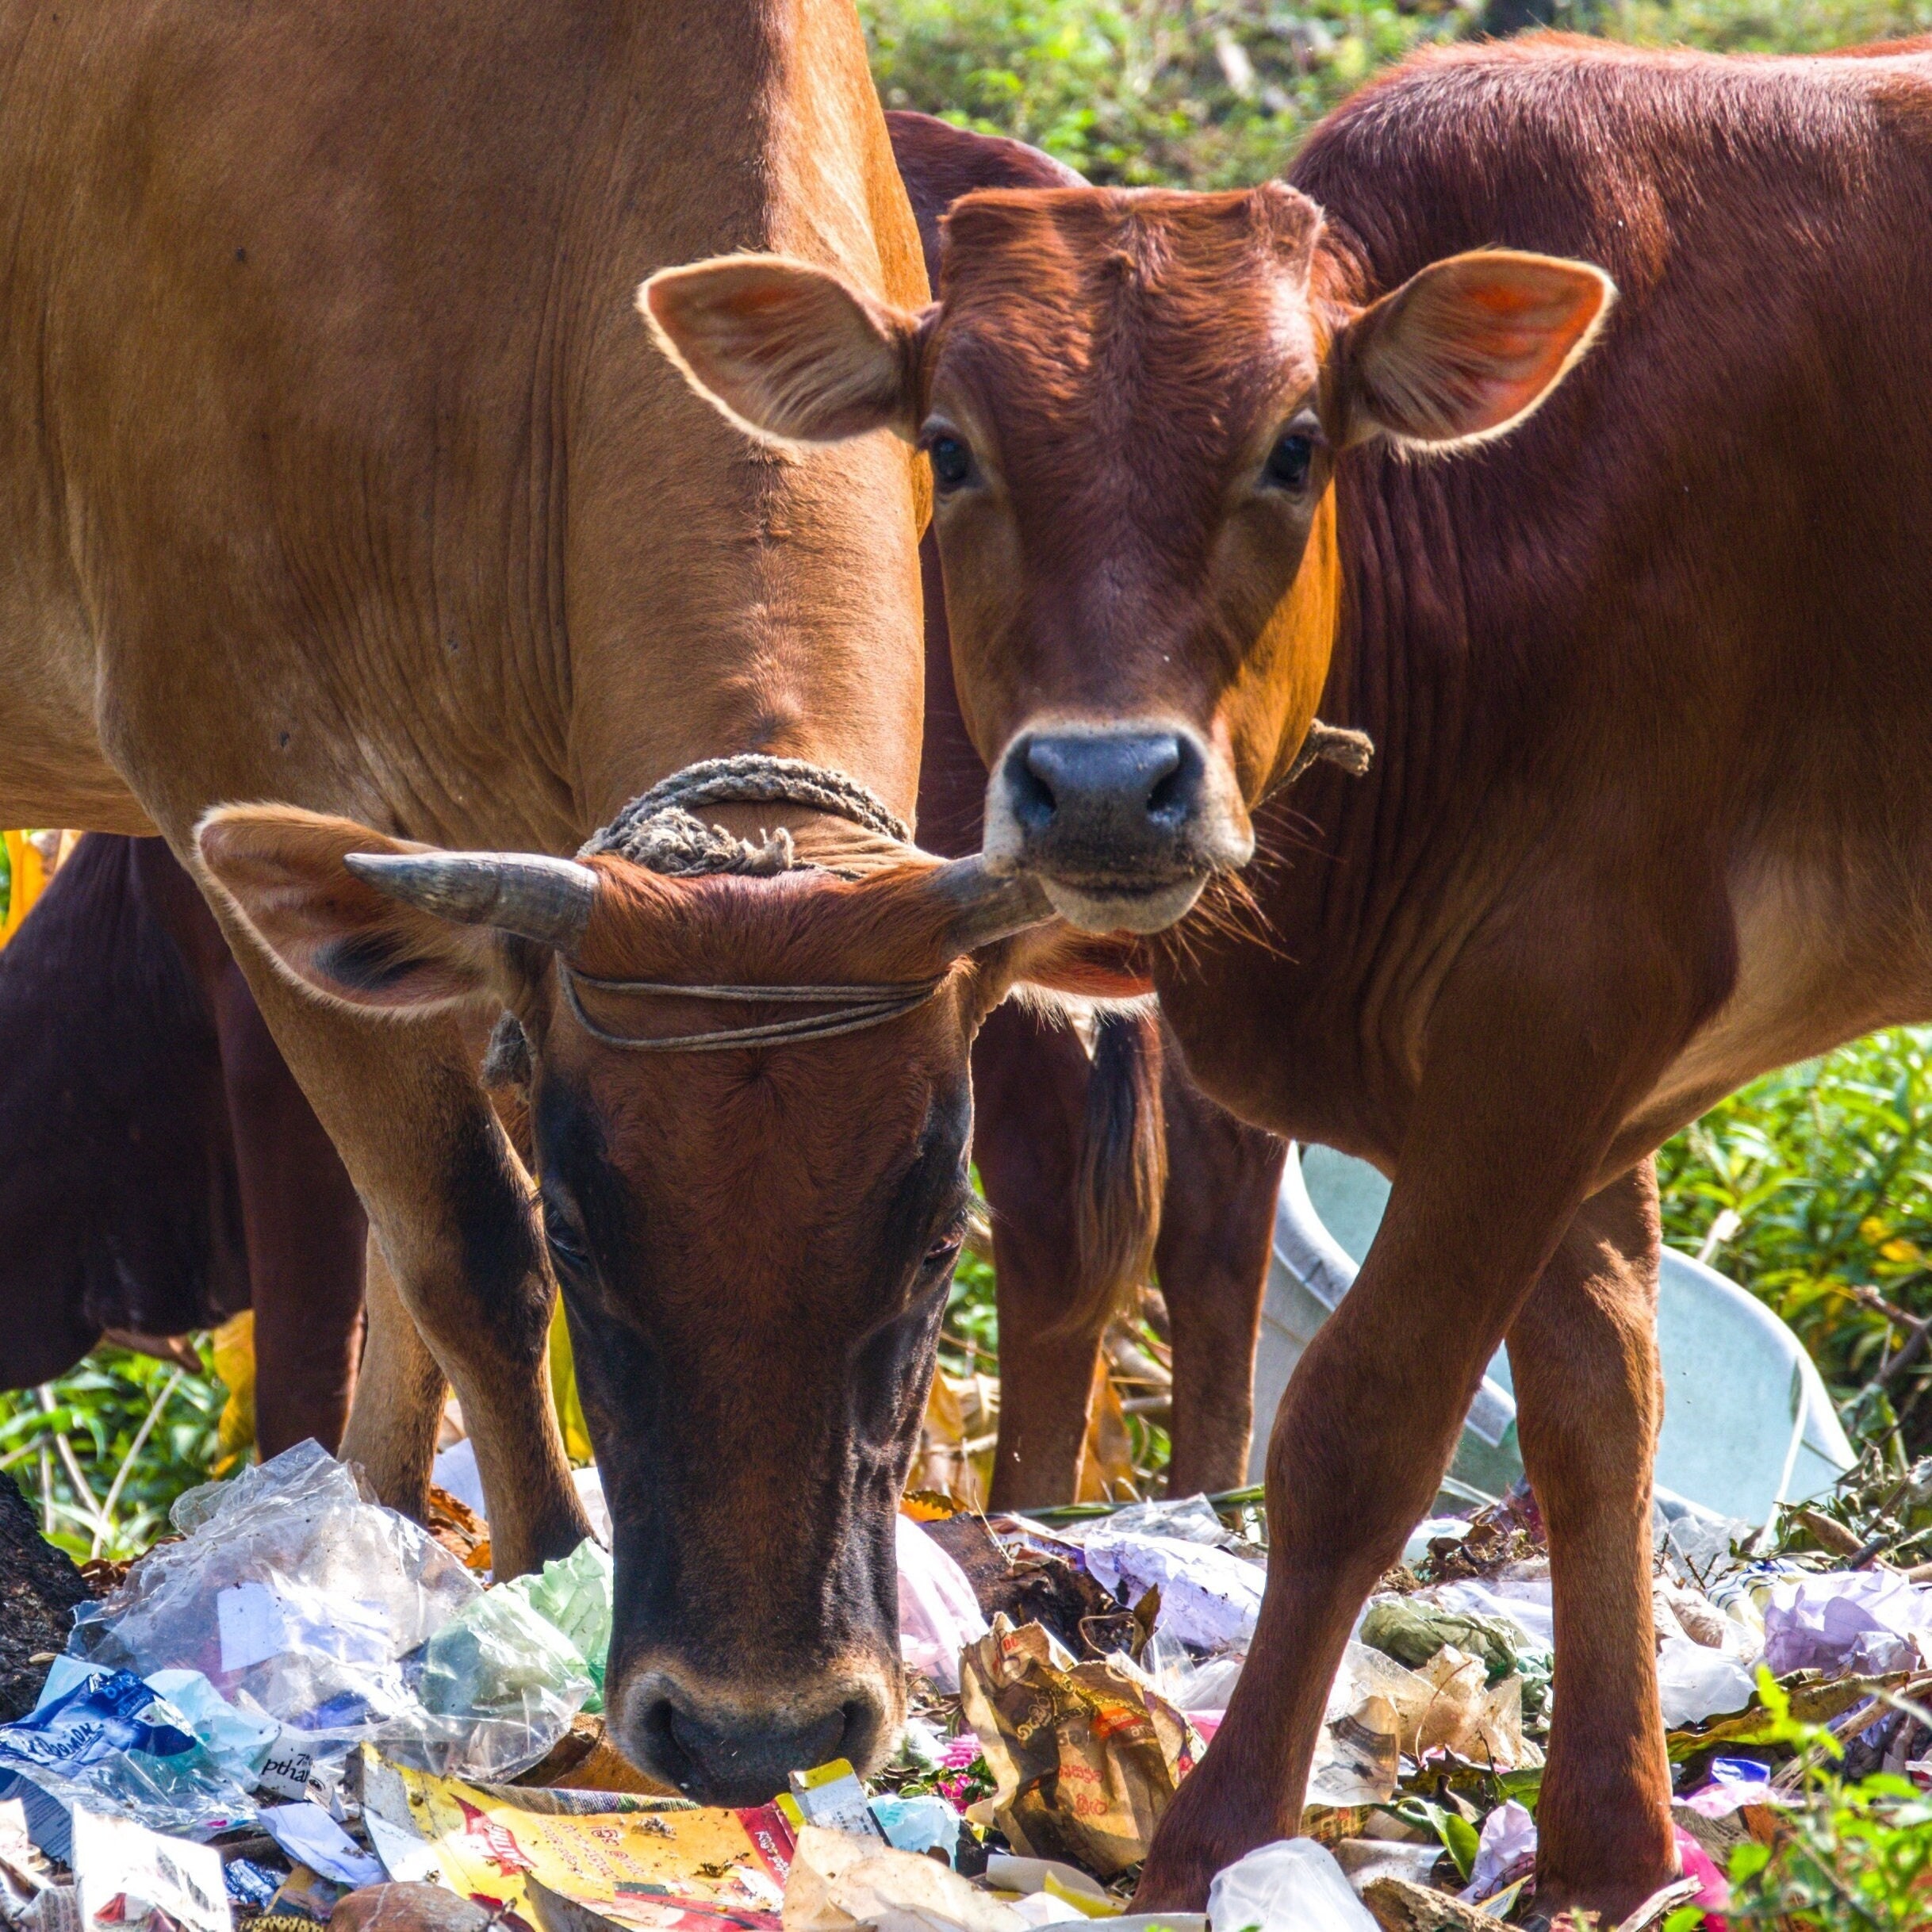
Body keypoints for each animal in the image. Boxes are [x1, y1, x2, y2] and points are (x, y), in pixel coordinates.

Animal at [645, 37, 1932, 1924]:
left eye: (1299, 444)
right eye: (947, 446)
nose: (1109, 788)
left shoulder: (1564, 1003)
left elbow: (1359, 1433)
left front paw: (1215, 1837)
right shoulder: (1572, 1074)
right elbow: (1596, 1416)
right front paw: (1611, 1849)